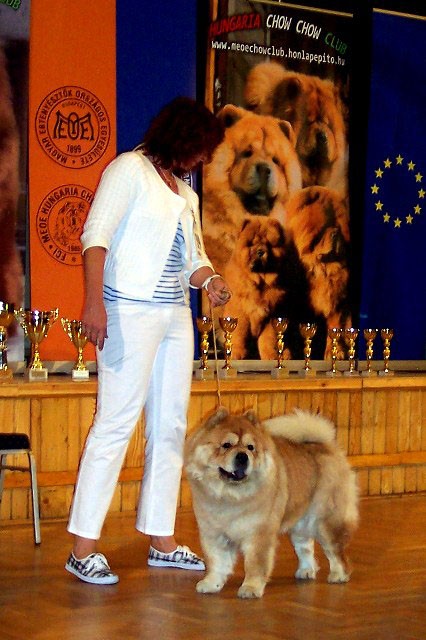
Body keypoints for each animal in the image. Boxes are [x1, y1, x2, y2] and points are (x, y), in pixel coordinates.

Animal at [184, 407, 359, 599]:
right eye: (226, 445)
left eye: (250, 447)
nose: (242, 456)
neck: (230, 497)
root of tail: (325, 446)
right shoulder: (213, 533)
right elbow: (217, 562)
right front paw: (211, 584)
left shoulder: (259, 533)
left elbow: (255, 564)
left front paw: (251, 588)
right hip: (301, 522)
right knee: (305, 546)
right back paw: (306, 571)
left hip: (325, 522)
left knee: (335, 550)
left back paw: (338, 575)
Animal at [285, 186, 351, 357]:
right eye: (324, 228)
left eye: (338, 226)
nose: (335, 232)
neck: (322, 269)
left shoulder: (336, 303)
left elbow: (335, 328)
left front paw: (335, 352)